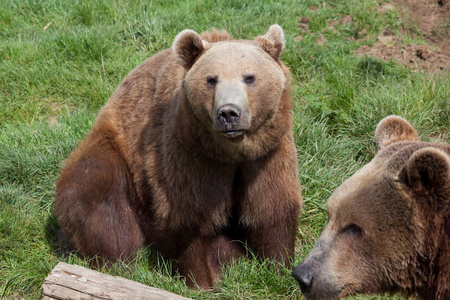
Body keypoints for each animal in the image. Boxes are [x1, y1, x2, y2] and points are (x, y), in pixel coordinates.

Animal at [55, 25, 302, 288]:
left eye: (249, 77)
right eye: (211, 79)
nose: (228, 113)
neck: (231, 152)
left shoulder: (268, 153)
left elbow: (273, 205)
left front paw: (278, 268)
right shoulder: (188, 154)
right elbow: (186, 217)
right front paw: (201, 280)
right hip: (116, 152)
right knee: (95, 197)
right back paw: (117, 263)